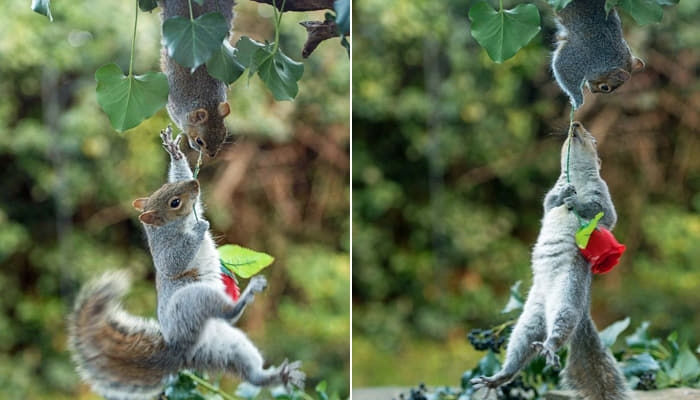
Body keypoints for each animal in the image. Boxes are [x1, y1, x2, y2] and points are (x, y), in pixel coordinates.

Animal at [67, 129, 304, 400]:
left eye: (167, 186)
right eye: (174, 203)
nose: (196, 185)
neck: (174, 225)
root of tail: (180, 353)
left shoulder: (195, 208)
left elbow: (190, 190)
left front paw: (175, 152)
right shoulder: (166, 251)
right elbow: (174, 262)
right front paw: (199, 229)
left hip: (230, 347)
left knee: (252, 373)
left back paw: (280, 376)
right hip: (192, 301)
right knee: (227, 313)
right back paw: (245, 297)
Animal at [470, 122, 628, 400]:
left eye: (593, 140)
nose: (576, 124)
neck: (576, 177)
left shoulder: (603, 196)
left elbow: (604, 216)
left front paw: (576, 202)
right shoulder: (552, 193)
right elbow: (549, 203)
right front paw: (564, 195)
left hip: (567, 297)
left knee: (559, 328)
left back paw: (550, 346)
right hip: (530, 318)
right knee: (521, 347)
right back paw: (498, 378)